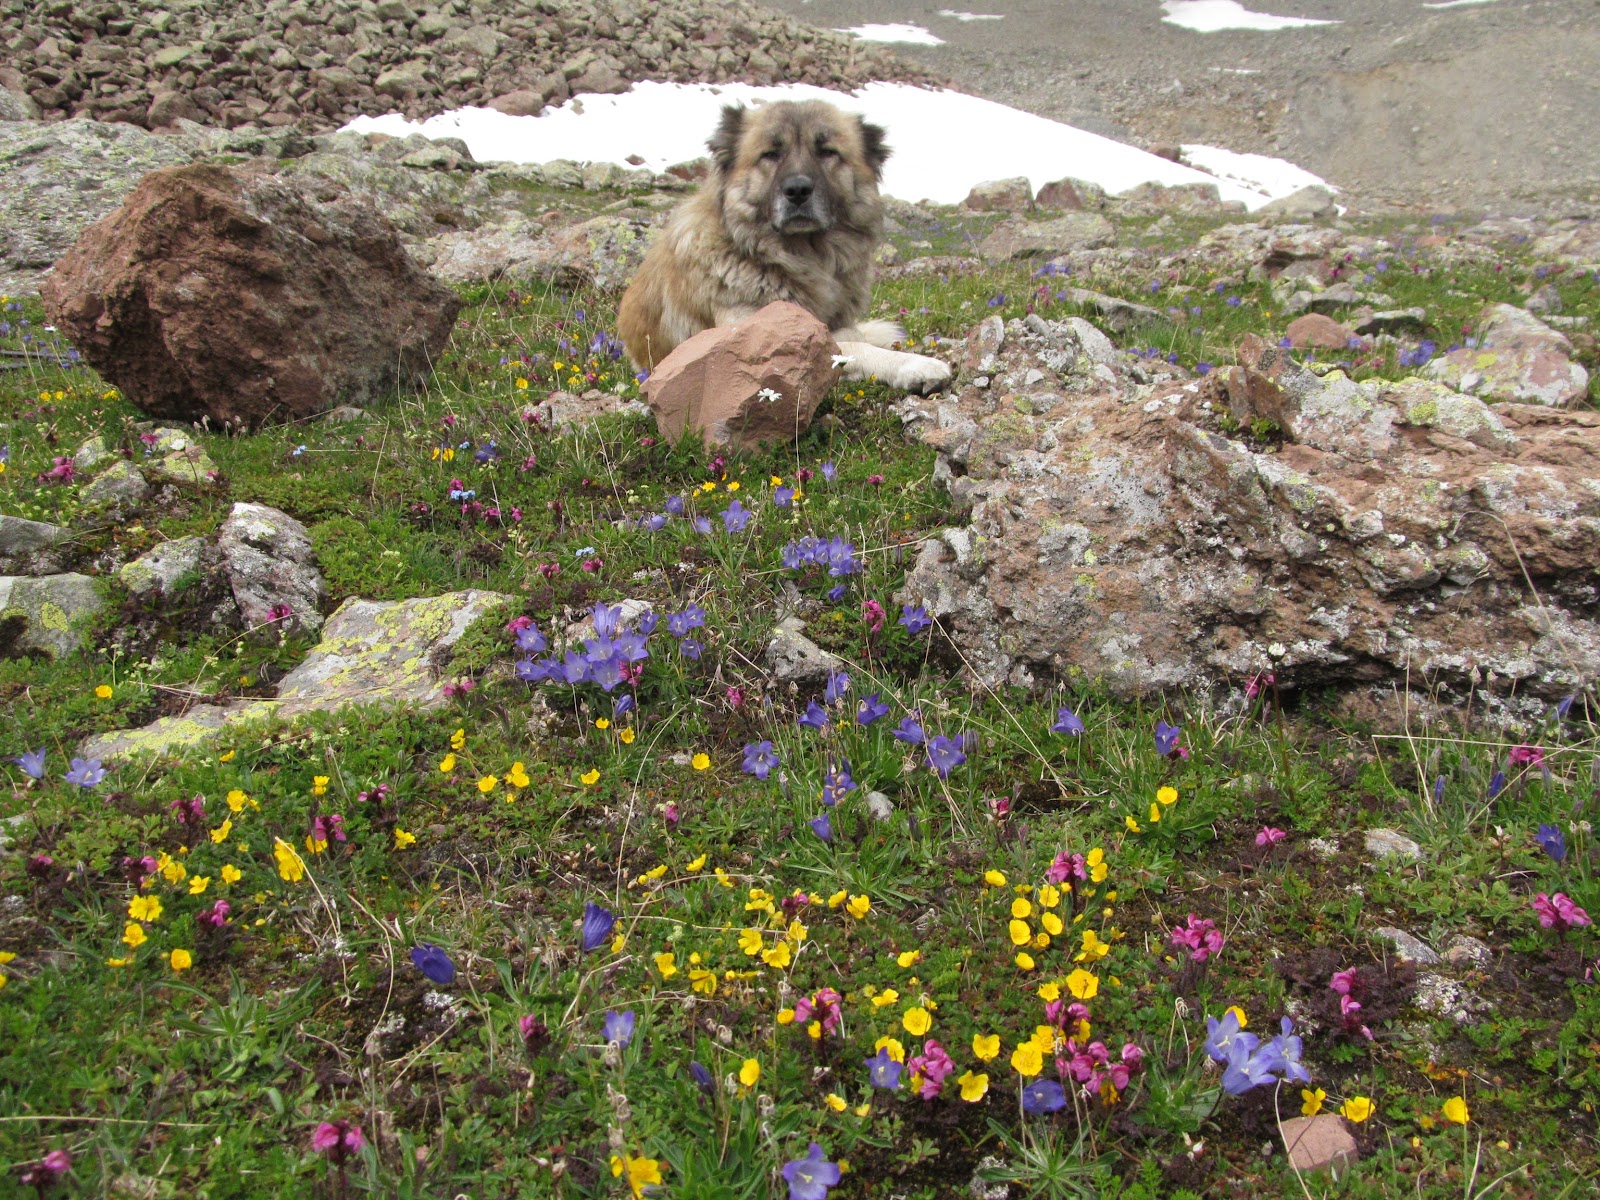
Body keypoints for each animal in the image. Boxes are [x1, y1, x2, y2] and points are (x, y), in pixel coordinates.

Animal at [617, 100, 947, 395]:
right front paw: (917, 365)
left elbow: (852, 336)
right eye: (771, 154)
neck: (798, 258)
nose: (797, 190)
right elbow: (851, 346)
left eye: (827, 152)